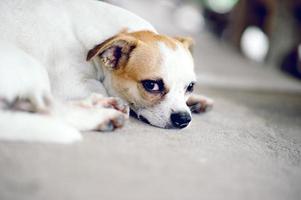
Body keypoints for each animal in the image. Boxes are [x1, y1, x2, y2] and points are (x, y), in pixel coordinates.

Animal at [0, 0, 212, 144]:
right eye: (151, 85)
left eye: (190, 87)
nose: (184, 119)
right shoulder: (70, 84)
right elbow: (99, 86)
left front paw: (196, 100)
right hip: (31, 65)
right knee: (49, 109)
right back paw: (102, 113)